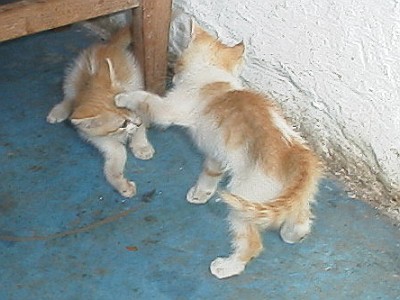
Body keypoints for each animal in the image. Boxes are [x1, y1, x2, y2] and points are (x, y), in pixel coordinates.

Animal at [46, 27, 154, 198]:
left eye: (129, 108)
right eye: (123, 123)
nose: (138, 122)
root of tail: (109, 44)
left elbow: (139, 127)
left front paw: (141, 145)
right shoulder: (95, 137)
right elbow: (118, 151)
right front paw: (121, 183)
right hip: (72, 76)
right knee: (70, 97)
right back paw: (60, 111)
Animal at [115, 24, 322, 278]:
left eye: (178, 62)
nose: (174, 73)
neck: (214, 75)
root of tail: (299, 156)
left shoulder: (170, 108)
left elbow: (146, 99)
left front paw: (124, 97)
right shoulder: (217, 153)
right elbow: (210, 173)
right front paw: (201, 193)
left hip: (244, 199)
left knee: (252, 243)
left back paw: (227, 266)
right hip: (293, 198)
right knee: (302, 218)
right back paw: (292, 234)